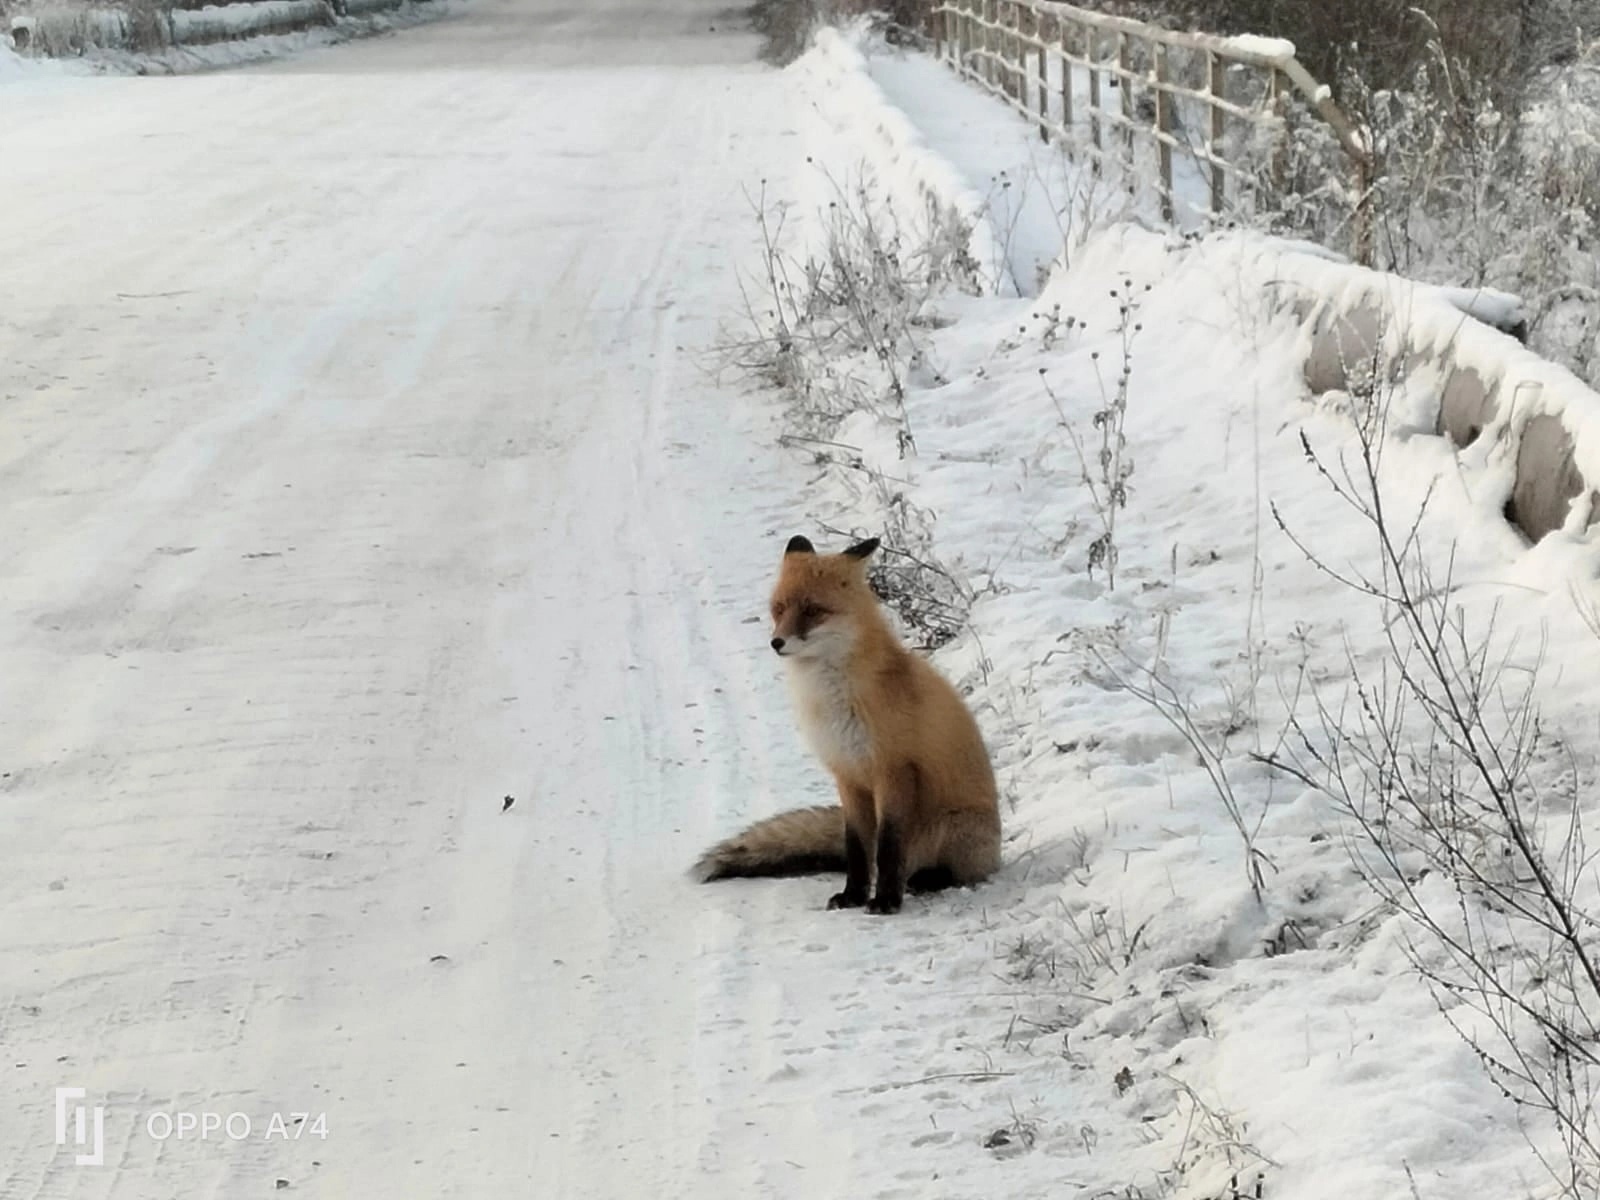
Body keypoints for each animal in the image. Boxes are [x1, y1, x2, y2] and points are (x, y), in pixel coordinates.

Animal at [691, 540, 992, 915]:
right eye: (779, 609)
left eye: (812, 610)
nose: (776, 643)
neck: (834, 700)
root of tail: (997, 849)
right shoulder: (846, 774)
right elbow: (858, 848)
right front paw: (853, 896)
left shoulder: (893, 770)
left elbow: (888, 848)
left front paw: (886, 901)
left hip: (951, 827)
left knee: (956, 871)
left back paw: (927, 879)